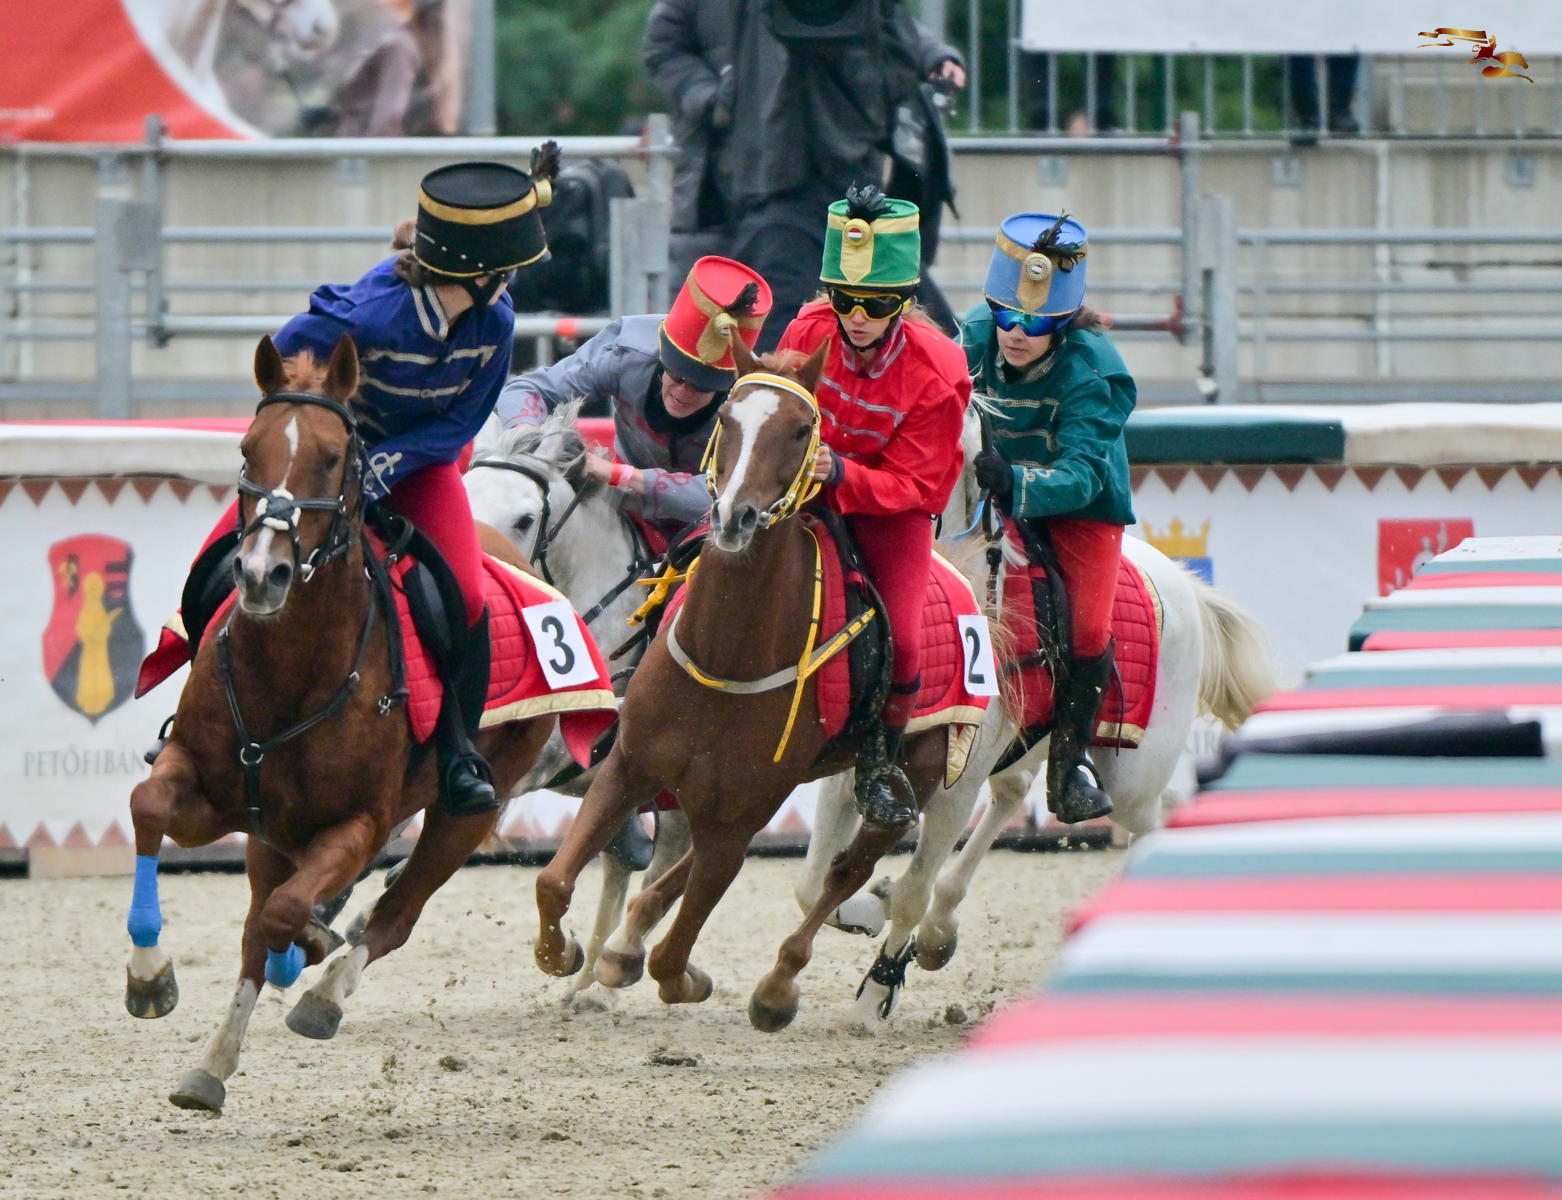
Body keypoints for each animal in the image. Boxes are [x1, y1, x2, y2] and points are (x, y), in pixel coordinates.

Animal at [124, 335, 560, 1113]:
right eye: (247, 450)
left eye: (332, 457)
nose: (262, 572)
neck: (289, 672)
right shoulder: (213, 797)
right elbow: (151, 810)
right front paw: (149, 977)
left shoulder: (354, 824)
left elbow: (283, 913)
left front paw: (303, 951)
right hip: (276, 833)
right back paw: (216, 1059)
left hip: (471, 810)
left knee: (394, 914)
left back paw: (322, 992)